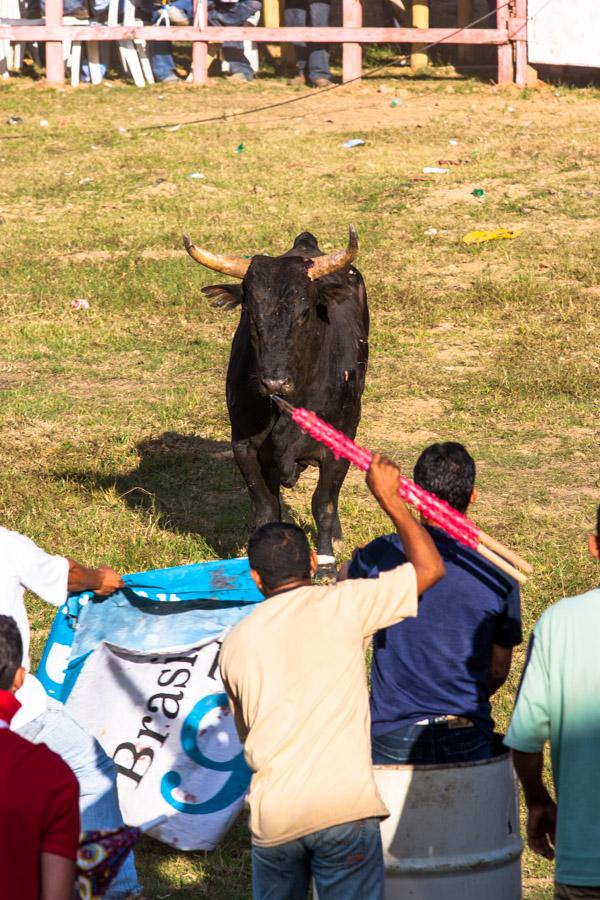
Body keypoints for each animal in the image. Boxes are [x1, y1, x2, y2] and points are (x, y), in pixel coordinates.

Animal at [185, 225, 368, 564]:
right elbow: (266, 508)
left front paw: (326, 559)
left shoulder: (340, 441)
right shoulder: (244, 446)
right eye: (249, 312)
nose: (274, 382)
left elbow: (323, 504)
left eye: (305, 312)